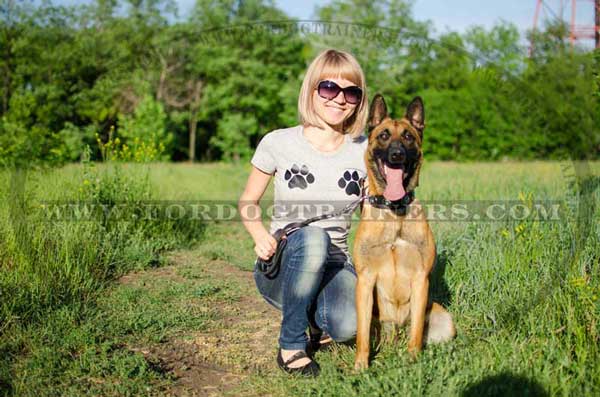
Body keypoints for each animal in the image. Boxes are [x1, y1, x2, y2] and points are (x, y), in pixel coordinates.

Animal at [352, 94, 454, 370]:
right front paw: (361, 365)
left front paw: (413, 359)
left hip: (445, 320)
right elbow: (362, 334)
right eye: (384, 135)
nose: (396, 154)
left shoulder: (420, 279)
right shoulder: (365, 280)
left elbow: (417, 329)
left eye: (408, 136)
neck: (394, 210)